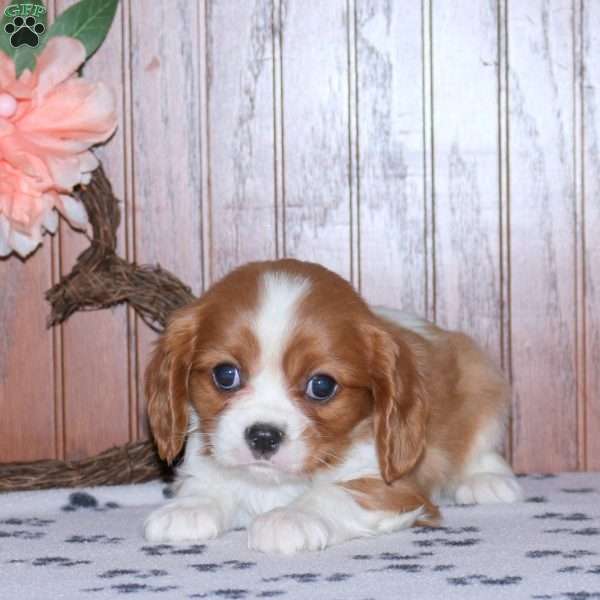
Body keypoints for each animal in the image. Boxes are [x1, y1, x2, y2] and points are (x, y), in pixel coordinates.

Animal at [142, 260, 520, 556]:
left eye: (321, 386)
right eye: (225, 375)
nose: (263, 436)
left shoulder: (393, 487)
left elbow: (333, 492)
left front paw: (290, 517)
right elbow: (205, 482)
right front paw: (190, 506)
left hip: (481, 378)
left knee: (481, 445)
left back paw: (486, 481)